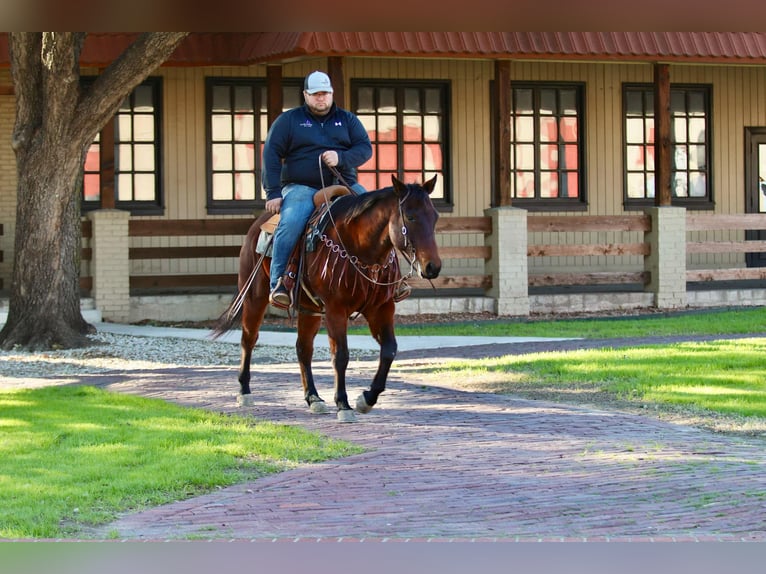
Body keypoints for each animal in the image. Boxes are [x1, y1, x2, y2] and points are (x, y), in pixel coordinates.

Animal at [212, 175, 441, 422]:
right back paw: (244, 392)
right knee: (249, 339)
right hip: (255, 297)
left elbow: (389, 350)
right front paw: (343, 404)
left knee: (303, 348)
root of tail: (258, 224)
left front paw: (366, 399)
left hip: (309, 308)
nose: (433, 267)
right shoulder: (335, 310)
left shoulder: (381, 308)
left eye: (435, 216)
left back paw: (313, 398)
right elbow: (340, 355)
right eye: (410, 216)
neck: (360, 247)